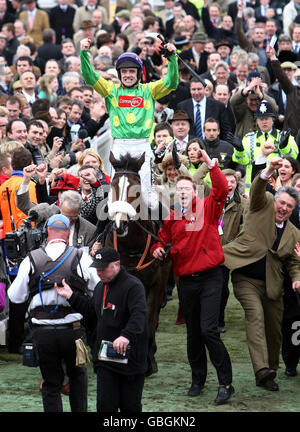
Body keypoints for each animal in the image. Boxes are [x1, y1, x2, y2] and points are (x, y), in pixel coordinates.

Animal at [105, 151, 171, 374]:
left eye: (135, 188)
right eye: (113, 187)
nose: (120, 225)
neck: (132, 247)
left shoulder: (154, 285)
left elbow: (148, 321)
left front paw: (149, 362)